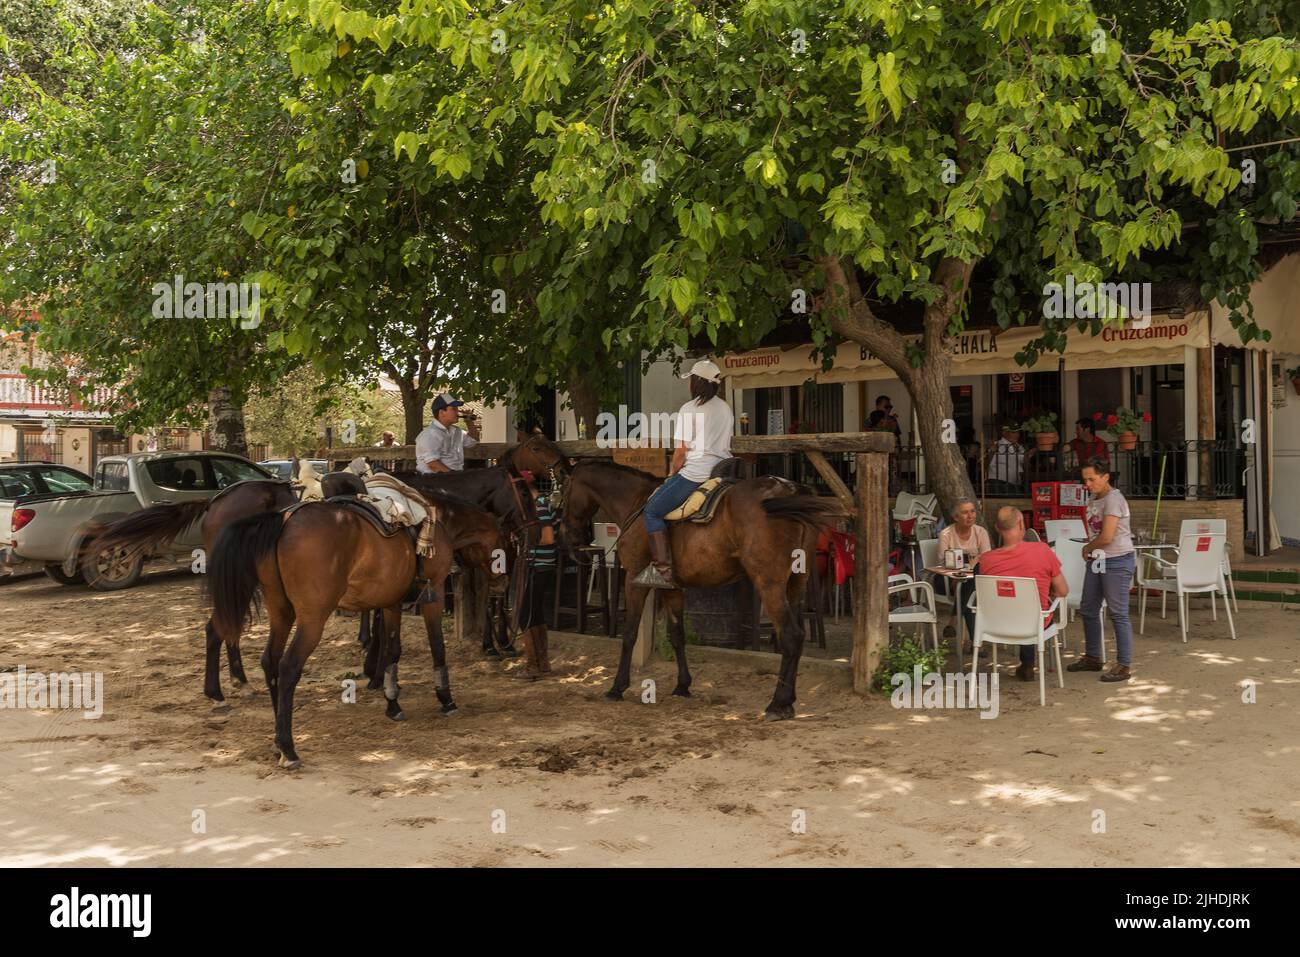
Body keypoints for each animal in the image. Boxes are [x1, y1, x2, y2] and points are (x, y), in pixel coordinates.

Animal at [208, 494, 501, 769]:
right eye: (503, 543)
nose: (501, 580)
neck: (439, 519)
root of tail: (285, 519)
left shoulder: (392, 604)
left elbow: (392, 652)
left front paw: (393, 704)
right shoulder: (434, 594)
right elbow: (437, 647)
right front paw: (446, 699)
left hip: (281, 612)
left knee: (270, 660)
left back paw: (277, 741)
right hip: (312, 619)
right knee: (288, 666)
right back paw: (288, 748)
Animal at [556, 462, 842, 717]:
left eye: (564, 492)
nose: (569, 537)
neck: (636, 503)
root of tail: (788, 489)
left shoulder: (634, 581)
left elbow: (629, 634)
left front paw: (617, 687)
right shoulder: (672, 587)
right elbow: (677, 634)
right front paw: (683, 685)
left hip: (768, 583)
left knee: (790, 635)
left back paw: (777, 703)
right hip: (796, 583)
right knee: (799, 635)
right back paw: (788, 701)